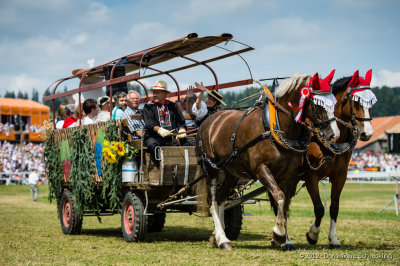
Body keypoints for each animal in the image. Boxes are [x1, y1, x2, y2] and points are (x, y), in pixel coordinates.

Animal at [197, 73, 340, 249]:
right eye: (318, 104)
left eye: (334, 102)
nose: (335, 135)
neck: (275, 127)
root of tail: (208, 121)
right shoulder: (261, 169)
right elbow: (279, 197)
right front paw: (278, 234)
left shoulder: (289, 175)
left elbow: (284, 205)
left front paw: (286, 240)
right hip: (212, 169)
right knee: (211, 201)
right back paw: (222, 239)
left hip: (232, 172)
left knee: (221, 199)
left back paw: (218, 236)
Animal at [304, 69, 378, 248]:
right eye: (357, 103)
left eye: (371, 103)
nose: (368, 134)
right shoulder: (311, 175)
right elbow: (319, 208)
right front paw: (313, 234)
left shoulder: (340, 176)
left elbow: (334, 207)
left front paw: (333, 238)